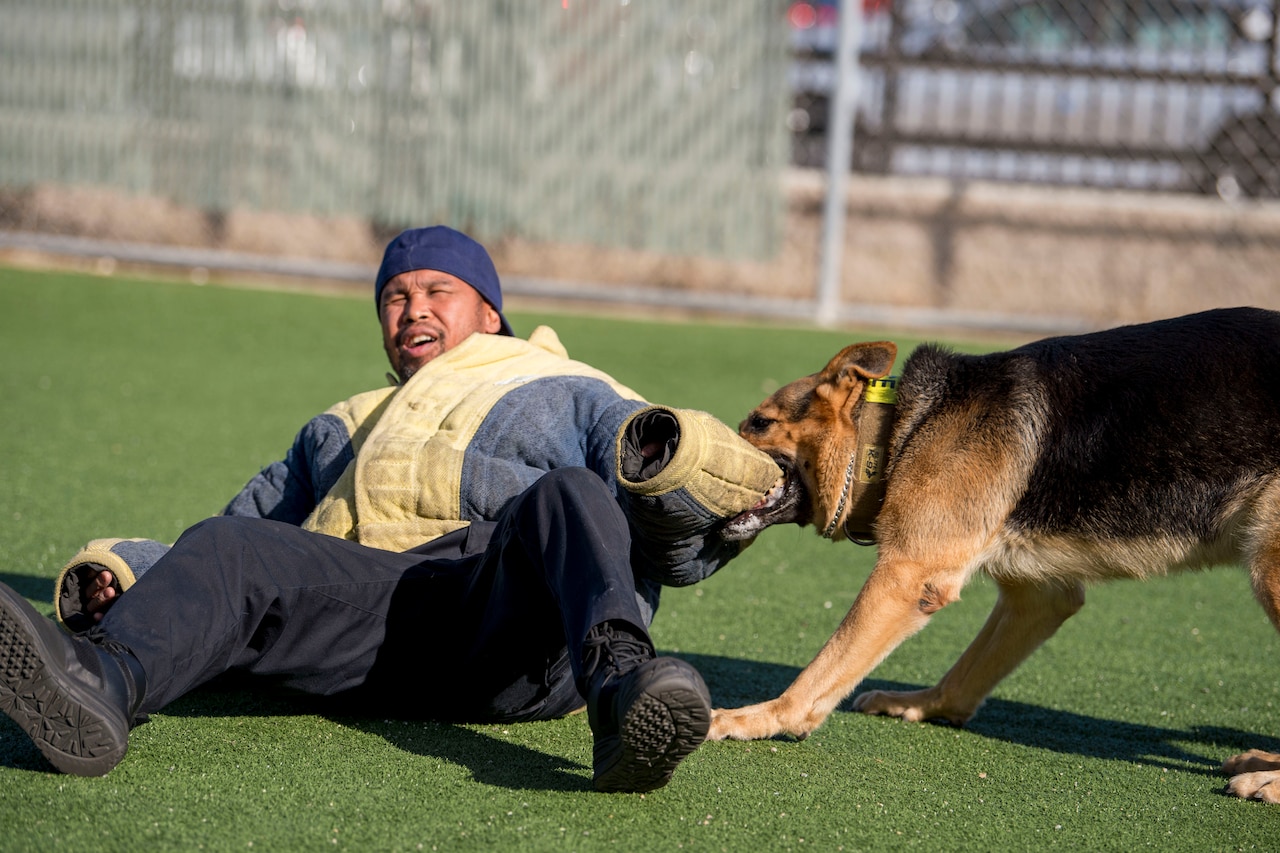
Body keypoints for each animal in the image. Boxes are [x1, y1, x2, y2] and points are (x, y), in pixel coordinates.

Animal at [716, 308, 1280, 799]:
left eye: (759, 423)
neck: (902, 430)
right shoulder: (1040, 597)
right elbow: (966, 673)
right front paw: (922, 705)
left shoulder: (906, 577)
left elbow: (817, 675)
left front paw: (756, 719)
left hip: (1269, 569)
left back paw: (1268, 781)